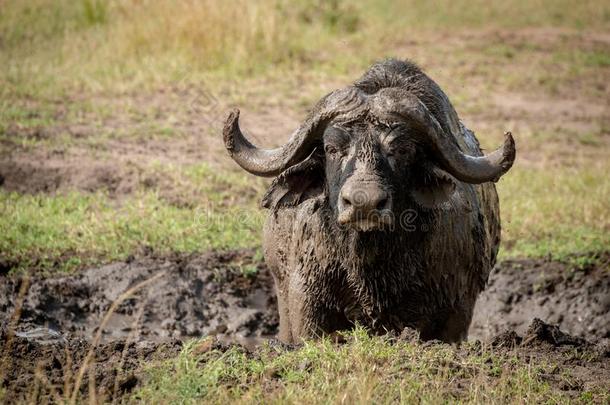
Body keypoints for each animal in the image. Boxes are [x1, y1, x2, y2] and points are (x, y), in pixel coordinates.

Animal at [221, 59, 516, 340]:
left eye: (402, 149)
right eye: (331, 148)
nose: (364, 204)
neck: (368, 265)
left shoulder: (457, 308)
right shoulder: (305, 304)